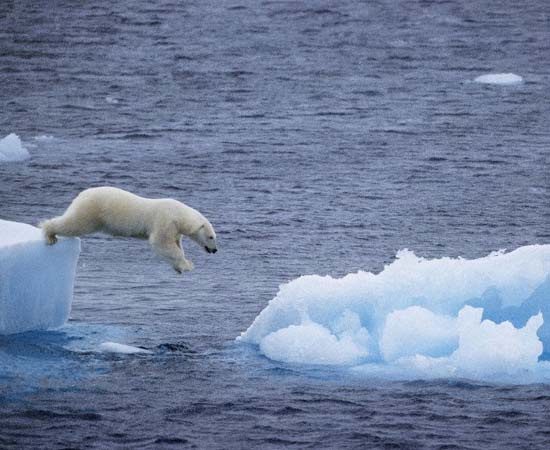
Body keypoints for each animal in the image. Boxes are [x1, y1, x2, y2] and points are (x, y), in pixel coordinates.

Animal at [41, 185, 218, 272]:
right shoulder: (165, 221)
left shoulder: (174, 229)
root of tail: (82, 194)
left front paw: (179, 267)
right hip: (92, 211)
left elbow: (173, 245)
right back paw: (49, 234)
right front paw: (187, 265)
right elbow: (161, 243)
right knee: (74, 224)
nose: (215, 250)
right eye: (211, 237)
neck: (179, 214)